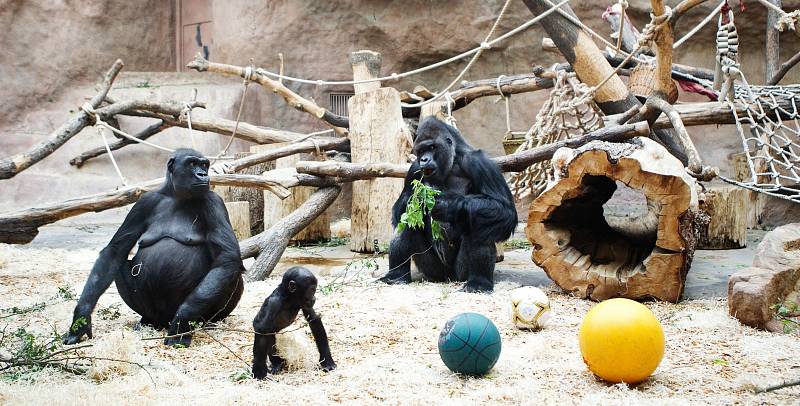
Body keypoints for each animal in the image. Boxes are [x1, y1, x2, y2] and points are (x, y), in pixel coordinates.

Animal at [65, 148, 244, 346]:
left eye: (204, 165)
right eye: (192, 164)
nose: (203, 174)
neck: (176, 195)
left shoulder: (214, 202)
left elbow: (227, 257)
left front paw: (182, 321)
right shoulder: (144, 202)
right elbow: (115, 251)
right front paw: (81, 318)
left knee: (229, 272)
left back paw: (207, 322)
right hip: (156, 315)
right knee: (121, 264)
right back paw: (148, 321)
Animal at [378, 117, 516, 292]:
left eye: (432, 147)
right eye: (420, 151)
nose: (424, 159)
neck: (454, 160)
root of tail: (449, 278)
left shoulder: (481, 163)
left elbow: (506, 211)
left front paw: (450, 205)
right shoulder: (414, 170)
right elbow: (399, 213)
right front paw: (418, 199)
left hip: (460, 273)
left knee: (481, 219)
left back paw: (479, 283)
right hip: (434, 272)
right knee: (406, 222)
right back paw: (396, 276)